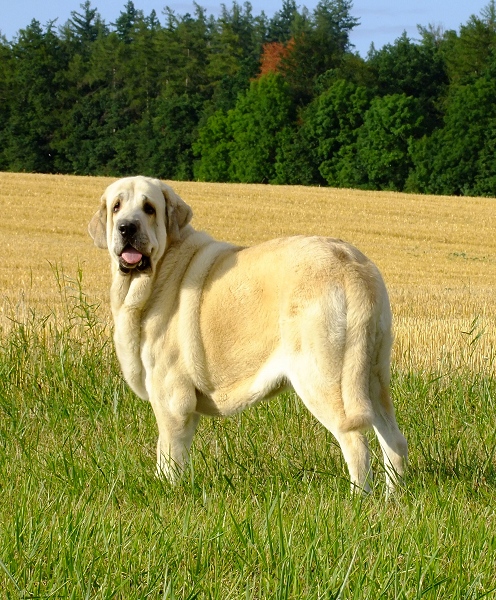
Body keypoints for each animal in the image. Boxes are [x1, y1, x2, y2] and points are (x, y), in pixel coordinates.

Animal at [89, 175, 406, 492]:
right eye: (116, 207)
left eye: (149, 208)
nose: (127, 227)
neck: (157, 273)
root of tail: (349, 263)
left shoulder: (172, 399)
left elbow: (168, 458)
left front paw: (168, 491)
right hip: (372, 376)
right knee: (394, 441)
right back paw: (393, 496)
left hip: (322, 378)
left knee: (355, 441)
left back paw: (359, 498)